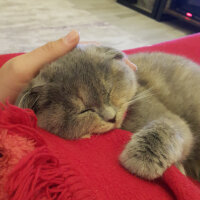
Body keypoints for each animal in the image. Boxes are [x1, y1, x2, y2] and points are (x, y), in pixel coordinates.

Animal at [16, 45, 200, 181]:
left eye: (108, 91)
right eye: (84, 110)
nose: (112, 117)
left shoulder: (167, 116)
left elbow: (165, 127)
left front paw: (142, 160)